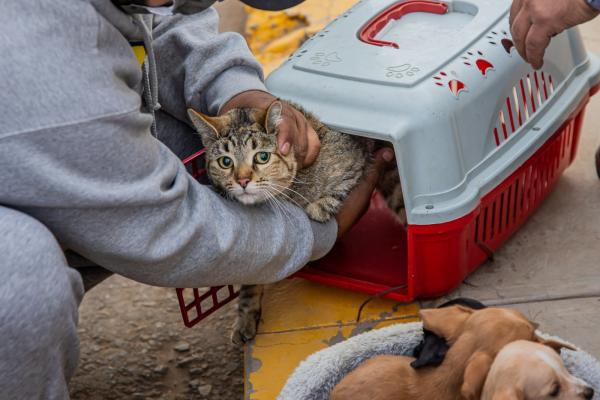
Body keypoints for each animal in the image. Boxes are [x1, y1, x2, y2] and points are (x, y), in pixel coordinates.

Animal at [188, 100, 404, 344]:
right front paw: (246, 315)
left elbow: (343, 186)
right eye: (225, 162)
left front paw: (320, 206)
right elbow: (252, 276)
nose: (243, 181)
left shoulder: (356, 160)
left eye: (262, 157)